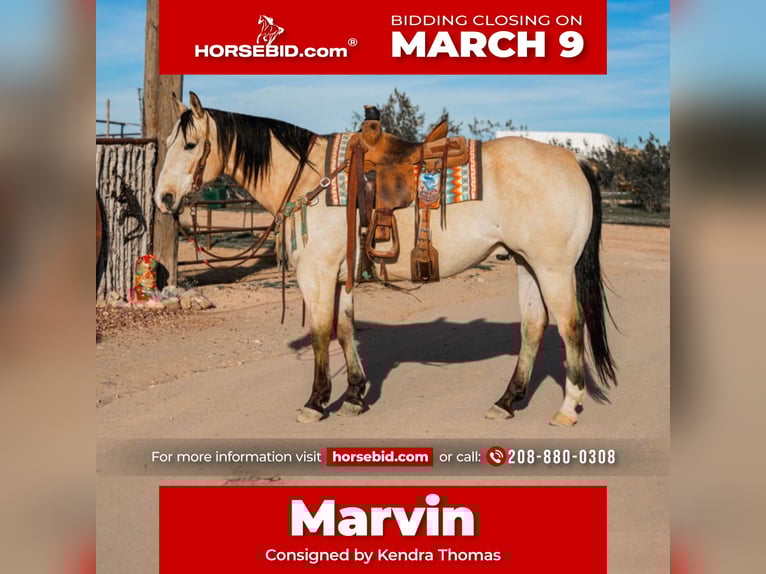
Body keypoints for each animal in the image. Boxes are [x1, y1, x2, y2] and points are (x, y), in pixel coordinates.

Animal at [155, 92, 617, 426]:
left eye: (191, 144)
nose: (164, 199)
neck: (311, 180)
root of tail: (575, 159)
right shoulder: (340, 274)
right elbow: (345, 331)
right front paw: (355, 397)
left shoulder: (317, 274)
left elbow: (321, 334)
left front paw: (316, 402)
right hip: (525, 262)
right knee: (534, 326)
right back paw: (506, 401)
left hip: (553, 268)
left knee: (570, 326)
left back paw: (567, 408)